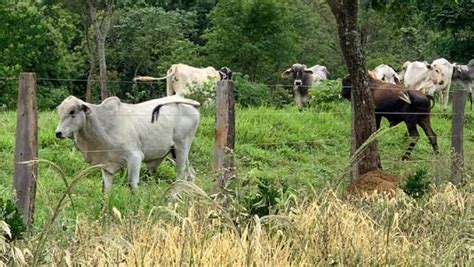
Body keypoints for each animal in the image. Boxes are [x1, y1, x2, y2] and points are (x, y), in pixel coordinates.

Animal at [54, 95, 201, 192]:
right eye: (60, 112)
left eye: (72, 111)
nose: (58, 133)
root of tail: (190, 103)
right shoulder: (107, 165)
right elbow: (105, 190)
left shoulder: (135, 158)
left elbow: (132, 186)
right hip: (174, 152)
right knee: (190, 174)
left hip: (182, 147)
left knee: (180, 176)